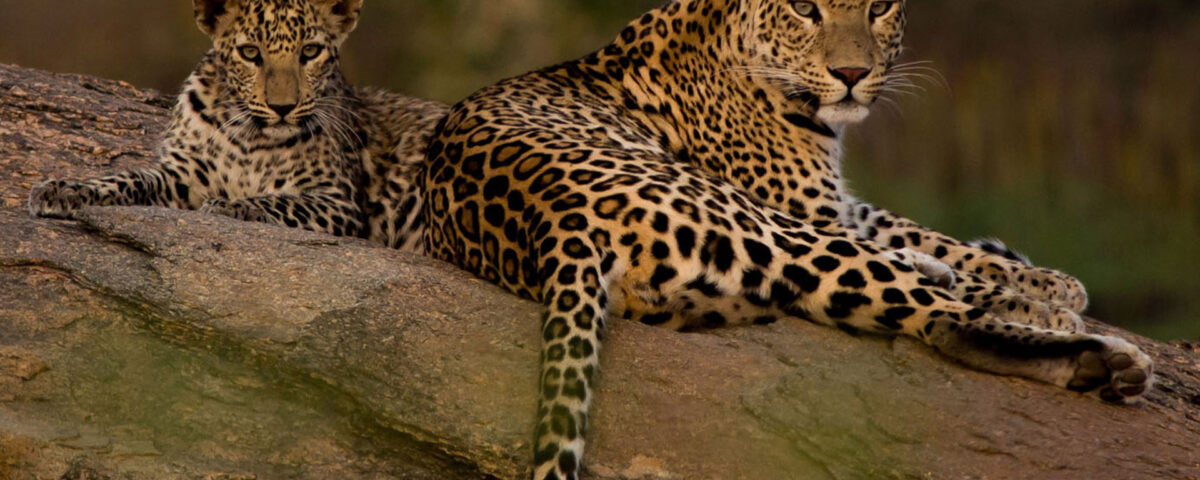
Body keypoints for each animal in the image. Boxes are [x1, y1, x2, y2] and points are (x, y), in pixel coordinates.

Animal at [27, 0, 447, 253]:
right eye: (250, 53)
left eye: (310, 52)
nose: (282, 107)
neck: (253, 138)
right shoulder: (183, 175)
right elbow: (128, 177)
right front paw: (64, 189)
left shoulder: (337, 202)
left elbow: (279, 200)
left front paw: (228, 207)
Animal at [418, 0, 1155, 478]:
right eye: (806, 7)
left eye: (879, 6)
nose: (853, 75)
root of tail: (555, 221)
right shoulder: (806, 207)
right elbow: (937, 253)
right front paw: (1044, 297)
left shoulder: (835, 203)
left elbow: (919, 229)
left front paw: (1041, 276)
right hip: (757, 221)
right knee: (939, 320)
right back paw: (1103, 358)